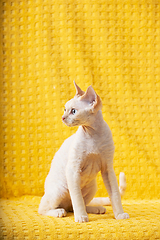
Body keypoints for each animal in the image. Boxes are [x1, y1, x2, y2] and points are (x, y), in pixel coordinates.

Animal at [38, 82, 129, 223]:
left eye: (73, 111)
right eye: (64, 109)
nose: (62, 118)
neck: (93, 134)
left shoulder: (108, 169)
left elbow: (114, 194)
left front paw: (120, 214)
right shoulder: (73, 169)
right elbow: (77, 198)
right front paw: (81, 217)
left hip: (92, 188)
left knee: (74, 206)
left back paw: (96, 209)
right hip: (59, 190)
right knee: (43, 208)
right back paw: (59, 211)